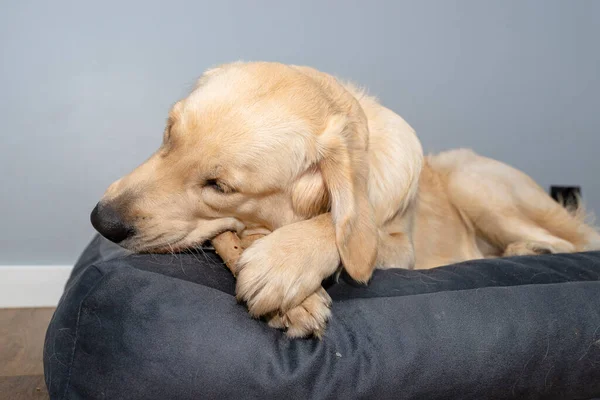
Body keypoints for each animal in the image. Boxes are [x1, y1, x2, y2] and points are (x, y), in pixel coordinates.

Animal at [90, 61, 600, 338]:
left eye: (220, 186)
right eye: (168, 135)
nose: (101, 220)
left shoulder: (398, 247)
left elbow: (347, 230)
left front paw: (284, 265)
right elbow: (231, 237)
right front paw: (294, 298)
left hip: (474, 181)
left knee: (572, 243)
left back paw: (530, 249)